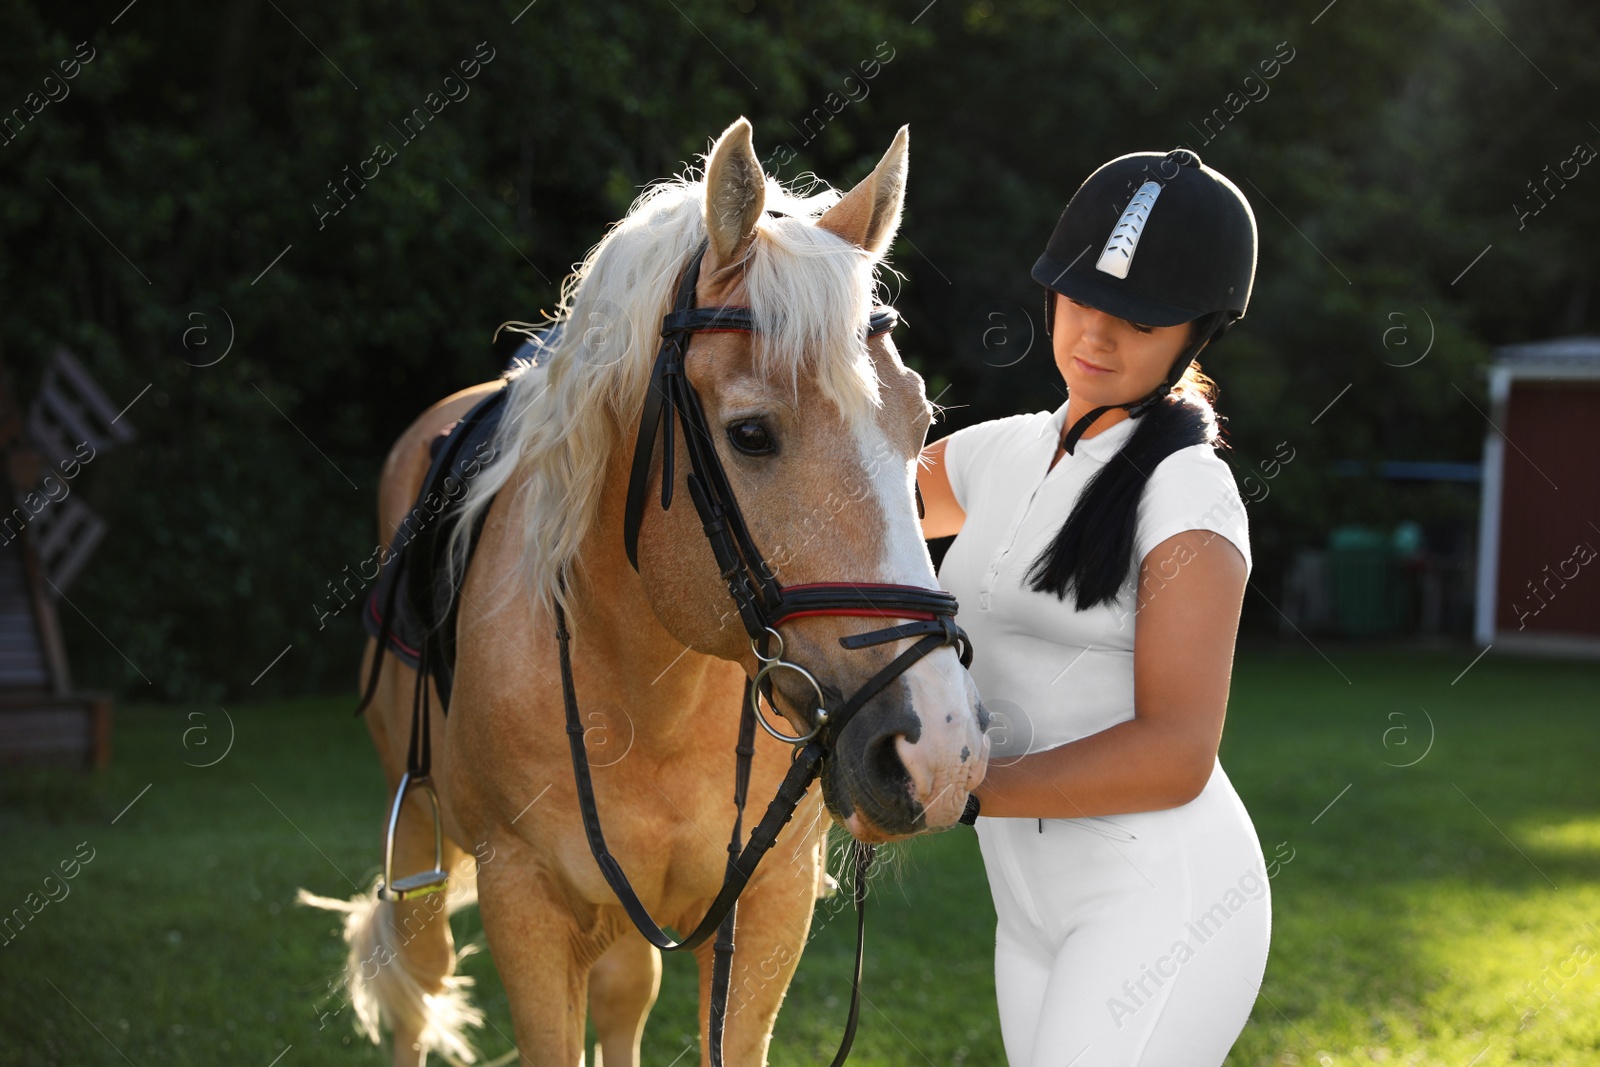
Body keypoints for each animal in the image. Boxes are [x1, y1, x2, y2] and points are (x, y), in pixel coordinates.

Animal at [300, 119, 985, 1067]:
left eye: (919, 425)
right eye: (750, 434)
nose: (938, 753)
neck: (650, 691)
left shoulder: (767, 904)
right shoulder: (523, 903)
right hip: (418, 844)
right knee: (415, 989)